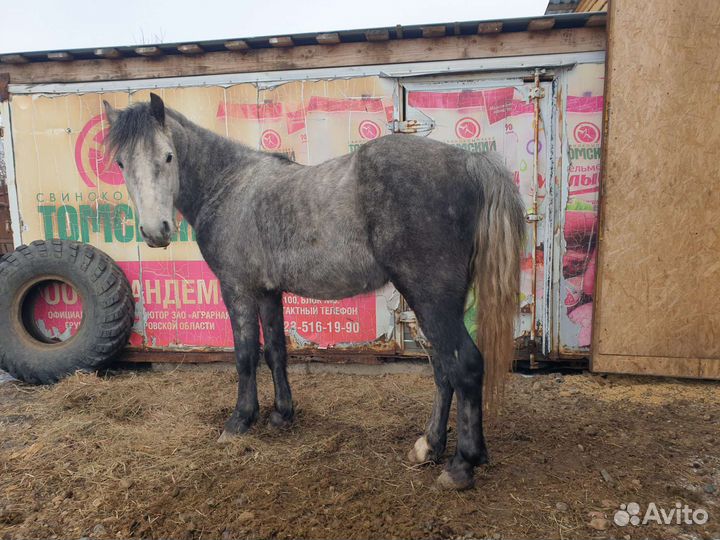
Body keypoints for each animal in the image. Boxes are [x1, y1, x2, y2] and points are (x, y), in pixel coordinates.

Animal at [103, 93, 525, 490]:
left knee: (465, 365)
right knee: (442, 369)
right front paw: (280, 414)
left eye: (168, 156)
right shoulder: (268, 292)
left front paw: (239, 421)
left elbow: (245, 355)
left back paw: (461, 465)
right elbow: (275, 351)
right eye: (121, 164)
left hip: (431, 298)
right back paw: (429, 447)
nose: (155, 232)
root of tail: (470, 162)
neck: (229, 186)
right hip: (436, 303)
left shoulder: (237, 288)